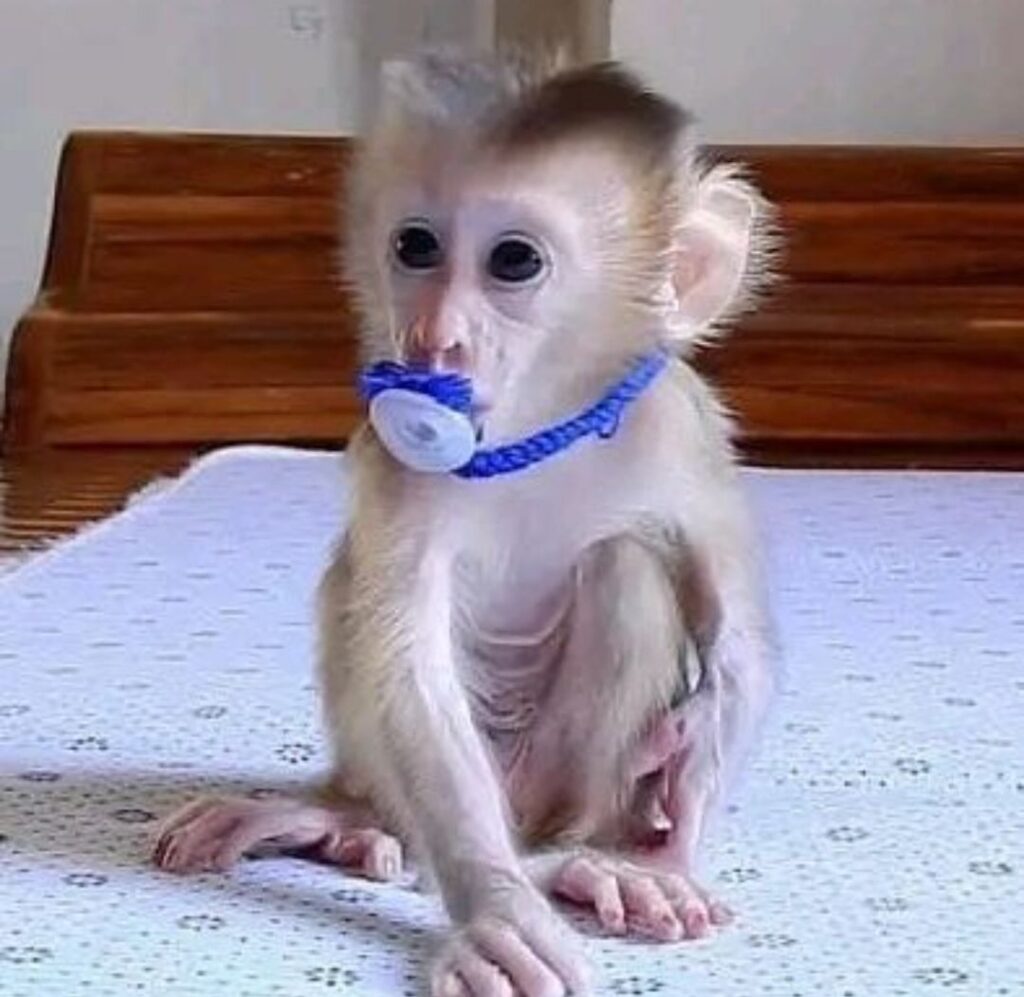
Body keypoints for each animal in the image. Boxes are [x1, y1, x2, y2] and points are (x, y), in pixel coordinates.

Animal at [152, 51, 777, 997]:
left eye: (513, 260)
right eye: (416, 246)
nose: (433, 337)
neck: (535, 427)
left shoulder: (684, 430)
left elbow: (737, 642)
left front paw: (669, 854)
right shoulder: (395, 457)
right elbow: (407, 660)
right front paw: (499, 914)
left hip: (561, 785)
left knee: (623, 566)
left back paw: (587, 861)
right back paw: (346, 822)